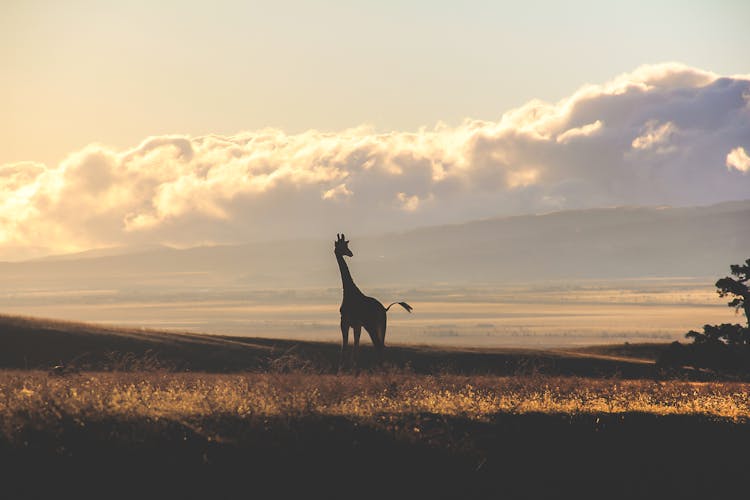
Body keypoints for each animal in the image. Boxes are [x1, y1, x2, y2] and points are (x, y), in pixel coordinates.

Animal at [336, 232, 414, 370]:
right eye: (342, 247)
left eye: (346, 246)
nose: (350, 253)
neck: (349, 290)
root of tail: (384, 309)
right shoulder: (352, 324)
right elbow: (351, 348)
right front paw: (349, 370)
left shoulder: (348, 322)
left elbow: (348, 348)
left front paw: (346, 370)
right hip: (381, 325)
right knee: (381, 345)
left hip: (371, 325)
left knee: (378, 345)